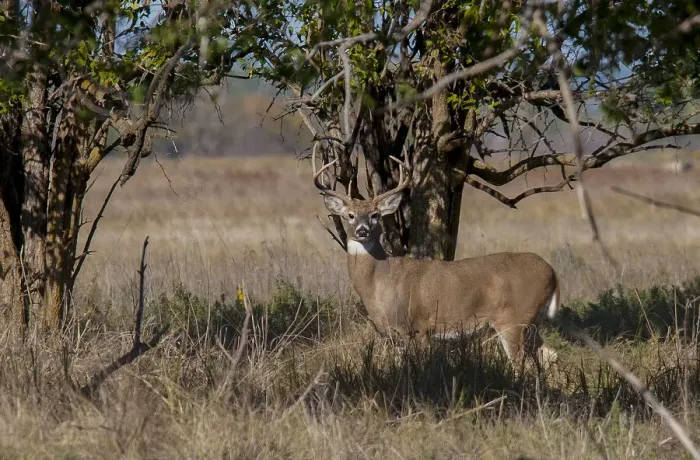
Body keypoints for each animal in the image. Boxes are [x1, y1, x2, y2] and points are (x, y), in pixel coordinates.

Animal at [312, 154, 560, 368]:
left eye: (375, 215)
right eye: (350, 215)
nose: (362, 231)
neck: (379, 282)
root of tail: (552, 272)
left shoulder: (417, 327)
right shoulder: (392, 335)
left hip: (514, 319)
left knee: (522, 363)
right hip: (532, 322)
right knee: (550, 355)